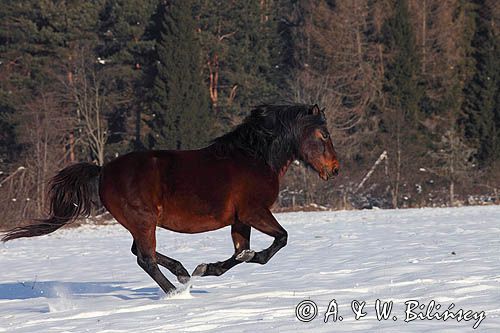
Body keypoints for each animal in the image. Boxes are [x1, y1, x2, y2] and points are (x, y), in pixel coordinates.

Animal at [1, 104, 340, 294]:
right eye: (323, 136)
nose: (334, 170)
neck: (255, 158)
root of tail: (103, 170)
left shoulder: (240, 219)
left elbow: (240, 253)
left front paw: (206, 268)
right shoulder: (255, 212)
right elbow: (278, 241)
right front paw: (206, 269)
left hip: (139, 223)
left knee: (141, 252)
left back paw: (182, 272)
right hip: (143, 220)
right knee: (145, 257)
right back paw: (176, 291)